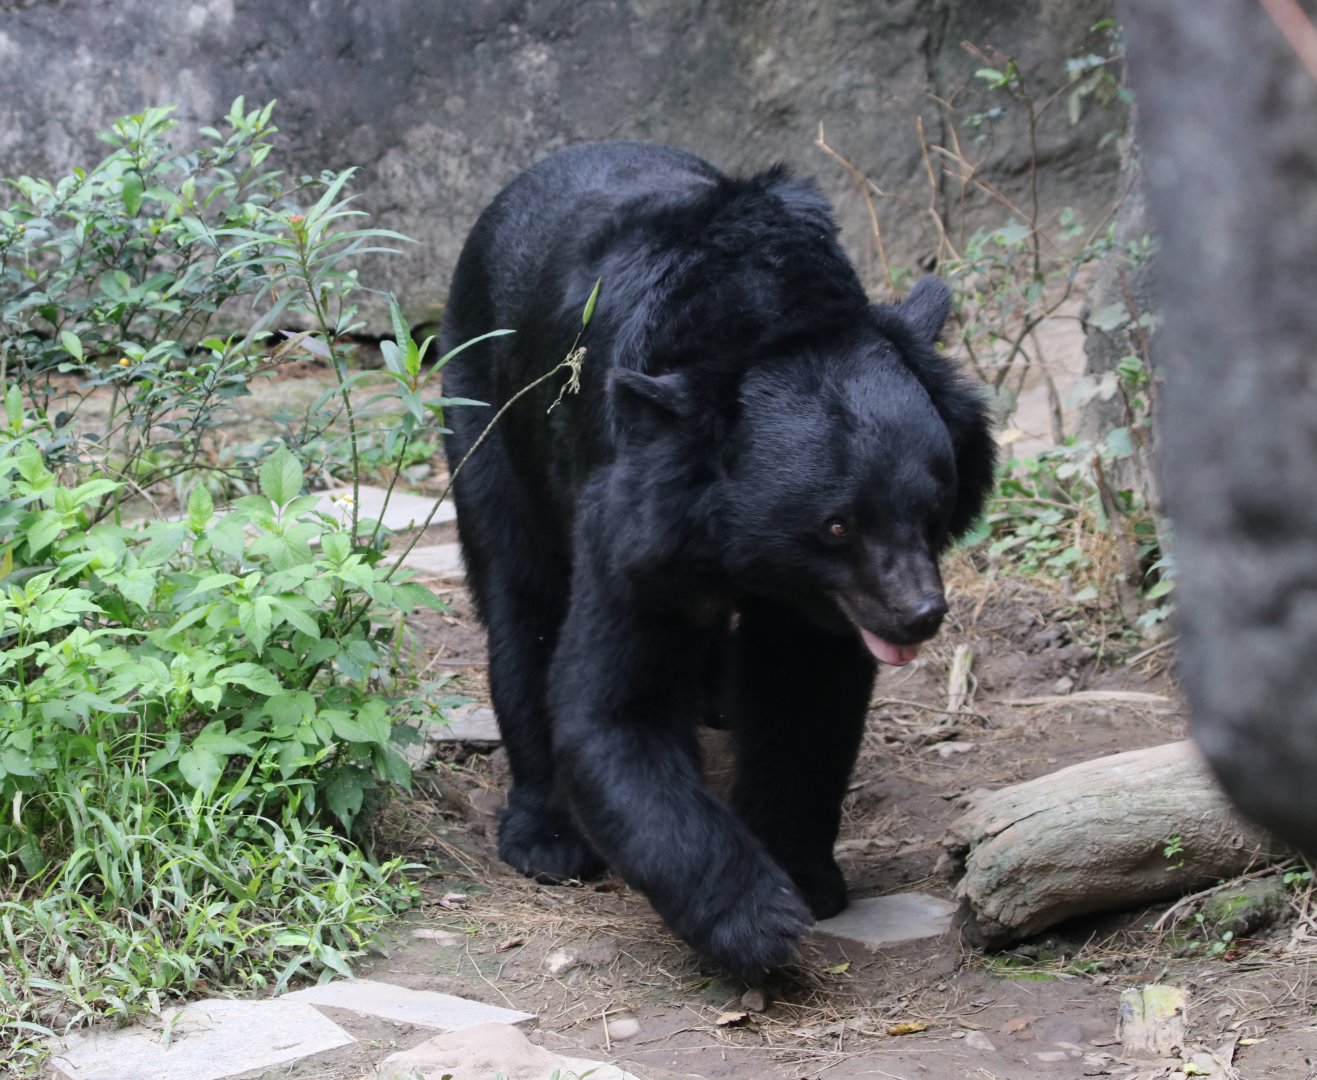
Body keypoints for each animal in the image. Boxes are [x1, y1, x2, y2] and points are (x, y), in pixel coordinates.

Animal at [439, 142, 995, 978]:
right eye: (836, 525)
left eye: (932, 508)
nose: (917, 615)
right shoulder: (632, 501)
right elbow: (615, 708)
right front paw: (759, 920)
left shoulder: (819, 603)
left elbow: (803, 696)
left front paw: (804, 875)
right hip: (485, 416)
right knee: (522, 604)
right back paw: (545, 837)